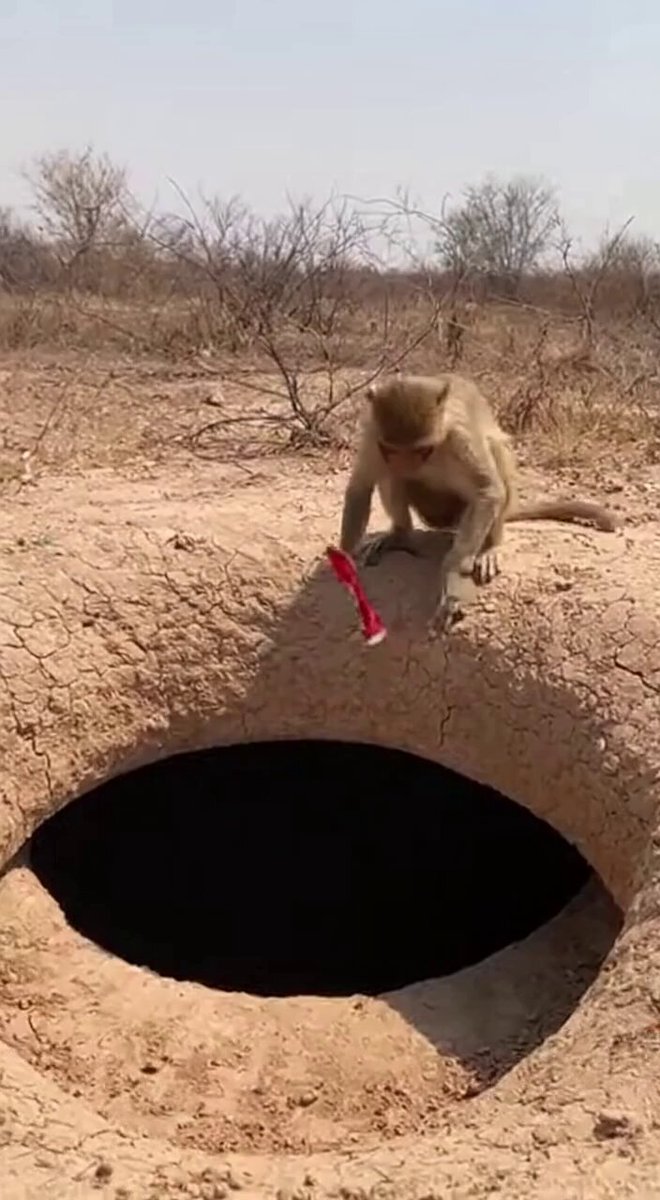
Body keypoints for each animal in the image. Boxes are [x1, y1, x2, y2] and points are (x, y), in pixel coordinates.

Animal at [338, 372, 618, 631]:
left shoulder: (459, 436)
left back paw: (489, 547)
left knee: (493, 452)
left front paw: (453, 578)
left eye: (422, 450)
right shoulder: (373, 434)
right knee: (390, 476)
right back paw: (400, 535)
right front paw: (345, 564)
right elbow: (360, 487)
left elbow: (488, 491)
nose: (405, 465)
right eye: (390, 449)